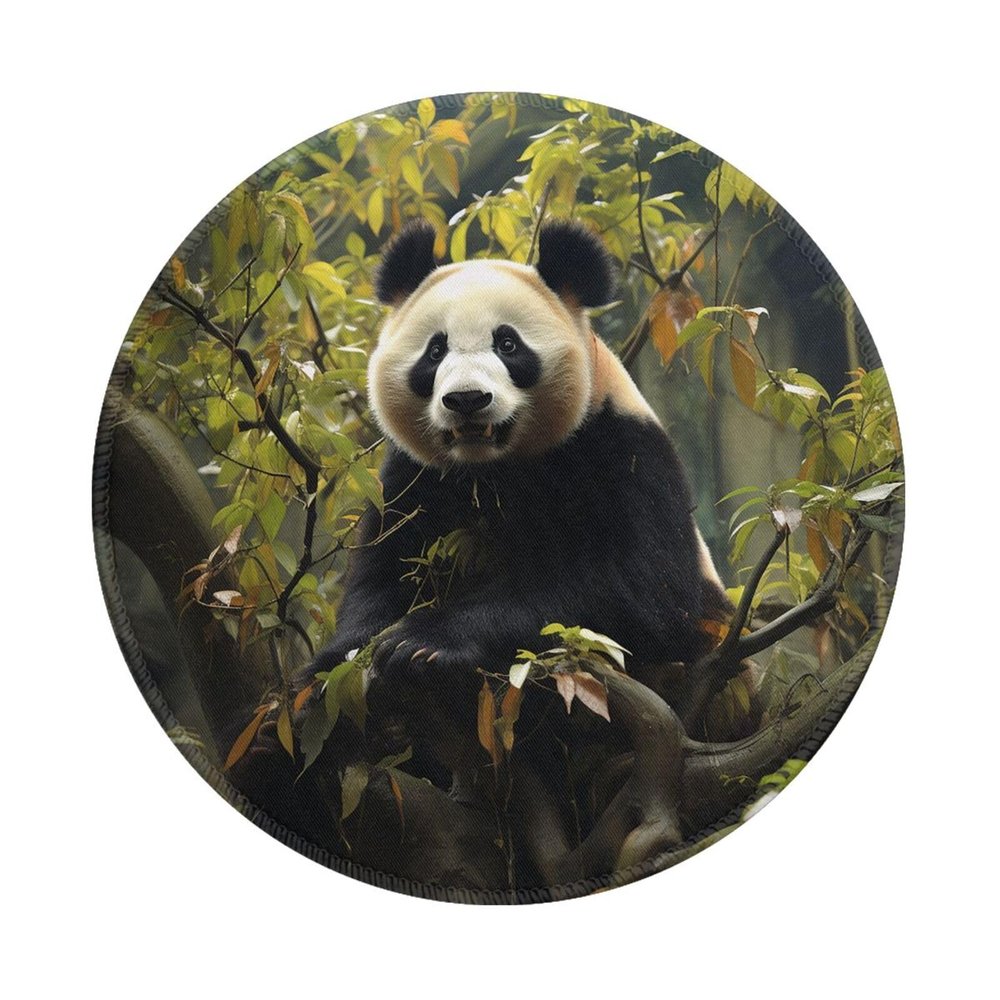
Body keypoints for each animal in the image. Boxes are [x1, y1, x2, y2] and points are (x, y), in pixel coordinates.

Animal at [308, 218, 730, 747]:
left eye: (507, 344)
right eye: (435, 350)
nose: (467, 400)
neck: (493, 467)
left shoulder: (624, 453)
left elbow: (643, 591)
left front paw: (422, 642)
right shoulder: (413, 477)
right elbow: (384, 575)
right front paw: (331, 670)